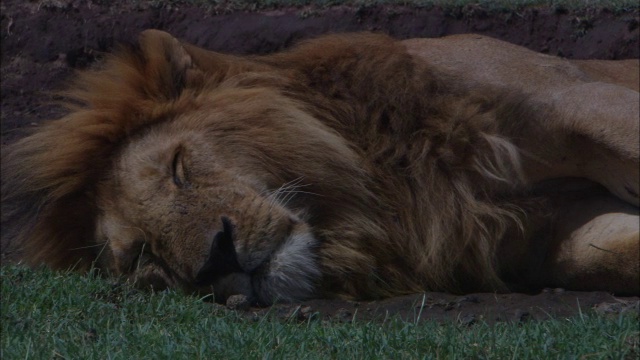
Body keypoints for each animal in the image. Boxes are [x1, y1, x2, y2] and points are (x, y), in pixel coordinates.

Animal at [1, 32, 640, 306]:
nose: (217, 260)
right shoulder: (545, 234)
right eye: (144, 258)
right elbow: (610, 255)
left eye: (178, 166)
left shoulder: (576, 99)